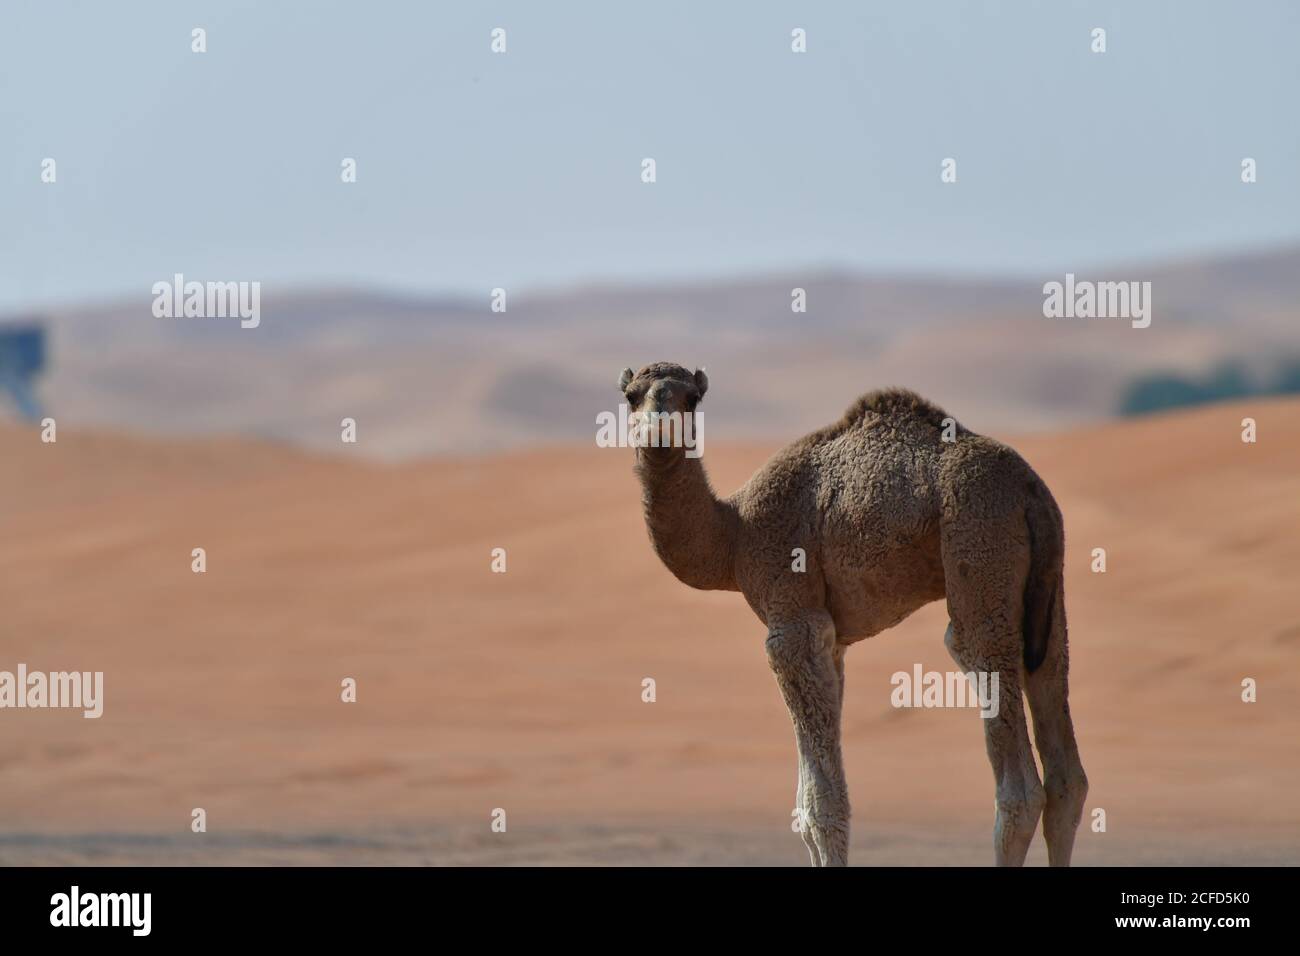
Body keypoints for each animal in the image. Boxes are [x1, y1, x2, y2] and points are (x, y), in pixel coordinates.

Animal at [618, 364, 1086, 868]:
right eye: (632, 396)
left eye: (691, 399)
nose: (659, 425)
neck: (734, 533)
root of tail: (1030, 490)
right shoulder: (832, 641)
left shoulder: (792, 618)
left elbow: (818, 807)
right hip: (1047, 589)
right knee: (1065, 769)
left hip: (979, 548)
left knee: (1017, 779)